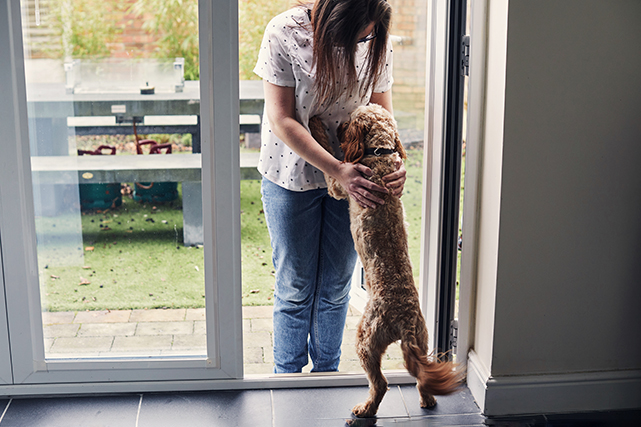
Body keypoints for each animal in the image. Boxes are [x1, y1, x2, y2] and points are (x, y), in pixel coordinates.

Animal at [308, 103, 462, 418]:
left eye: (351, 119)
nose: (340, 125)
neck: (380, 152)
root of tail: (403, 317)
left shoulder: (341, 184)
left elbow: (328, 154)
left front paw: (316, 126)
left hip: (365, 340)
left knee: (380, 383)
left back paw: (365, 409)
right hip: (422, 337)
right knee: (421, 376)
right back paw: (427, 400)